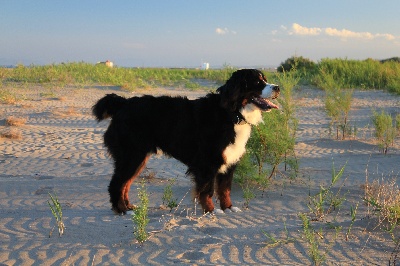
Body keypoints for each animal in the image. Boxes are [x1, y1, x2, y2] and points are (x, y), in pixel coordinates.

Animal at [92, 68, 280, 214]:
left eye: (265, 79)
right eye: (257, 82)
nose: (278, 87)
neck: (233, 113)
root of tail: (122, 103)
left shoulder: (230, 161)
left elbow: (225, 189)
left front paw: (228, 208)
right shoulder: (207, 163)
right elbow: (207, 190)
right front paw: (210, 211)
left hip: (138, 158)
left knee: (125, 184)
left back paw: (129, 207)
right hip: (132, 156)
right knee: (117, 184)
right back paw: (122, 210)